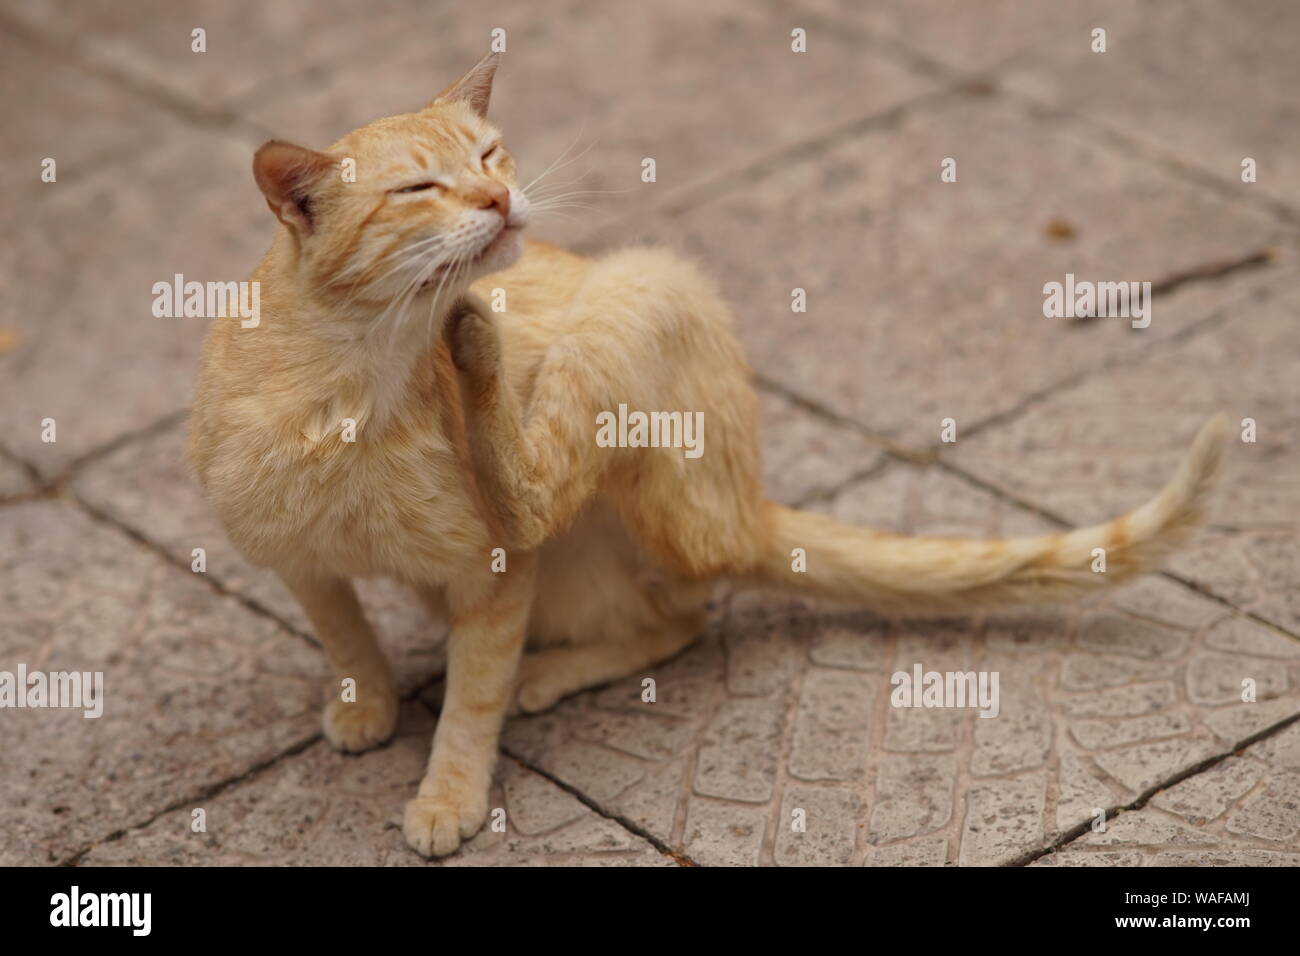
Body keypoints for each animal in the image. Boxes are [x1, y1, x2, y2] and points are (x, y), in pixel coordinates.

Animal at [188, 52, 1222, 858]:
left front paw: (447, 795)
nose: (501, 197)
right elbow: (344, 636)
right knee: (669, 604)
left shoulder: (495, 572)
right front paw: (368, 704)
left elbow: (472, 701)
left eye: (486, 155)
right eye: (416, 189)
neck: (354, 384)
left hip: (641, 293)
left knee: (651, 584)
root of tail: (748, 503)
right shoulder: (296, 563)